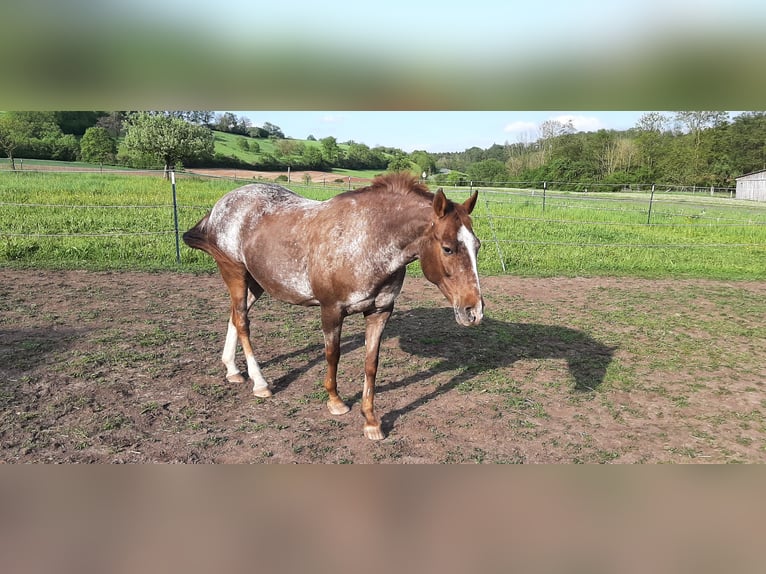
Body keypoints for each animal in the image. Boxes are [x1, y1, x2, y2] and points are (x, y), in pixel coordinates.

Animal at [183, 172, 484, 440]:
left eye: (477, 246)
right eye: (447, 248)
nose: (474, 311)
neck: (366, 239)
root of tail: (221, 205)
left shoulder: (380, 312)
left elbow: (371, 364)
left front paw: (371, 422)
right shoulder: (331, 310)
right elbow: (332, 355)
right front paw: (336, 402)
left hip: (256, 282)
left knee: (235, 315)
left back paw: (233, 370)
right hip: (234, 272)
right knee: (243, 322)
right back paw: (260, 383)